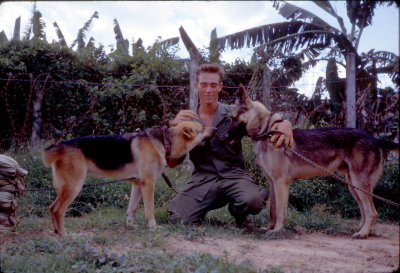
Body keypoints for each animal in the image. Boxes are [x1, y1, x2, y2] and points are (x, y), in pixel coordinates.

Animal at [42, 120, 214, 235]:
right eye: (202, 128)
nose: (216, 128)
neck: (165, 141)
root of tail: (61, 145)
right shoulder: (149, 184)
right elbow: (149, 209)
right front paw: (153, 227)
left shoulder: (137, 185)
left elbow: (131, 209)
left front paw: (130, 226)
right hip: (74, 187)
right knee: (58, 210)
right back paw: (64, 235)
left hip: (67, 189)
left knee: (51, 208)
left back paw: (57, 233)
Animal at [227, 85, 398, 238]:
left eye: (233, 118)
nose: (223, 135)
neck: (266, 132)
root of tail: (373, 138)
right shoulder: (272, 183)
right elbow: (273, 211)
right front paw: (269, 228)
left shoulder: (281, 182)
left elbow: (280, 211)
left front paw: (277, 230)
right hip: (353, 185)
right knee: (364, 211)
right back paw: (361, 230)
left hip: (359, 184)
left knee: (372, 213)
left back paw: (363, 233)